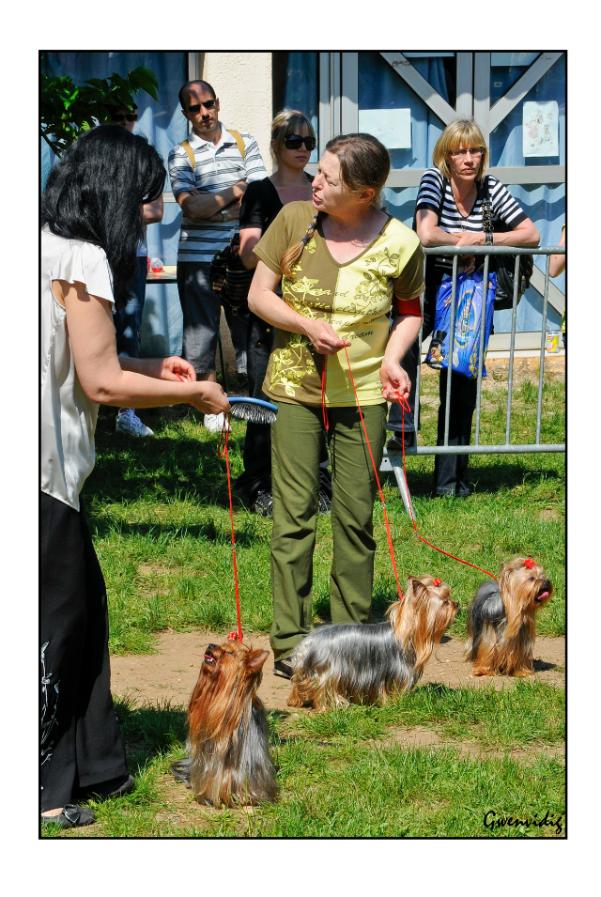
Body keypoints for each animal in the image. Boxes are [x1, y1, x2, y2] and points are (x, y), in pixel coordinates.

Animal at [286, 576, 454, 712]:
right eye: (446, 602)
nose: (456, 604)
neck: (408, 634)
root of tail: (306, 644)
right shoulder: (395, 673)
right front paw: (395, 704)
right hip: (329, 671)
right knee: (324, 689)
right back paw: (330, 706)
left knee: (299, 684)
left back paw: (295, 701)